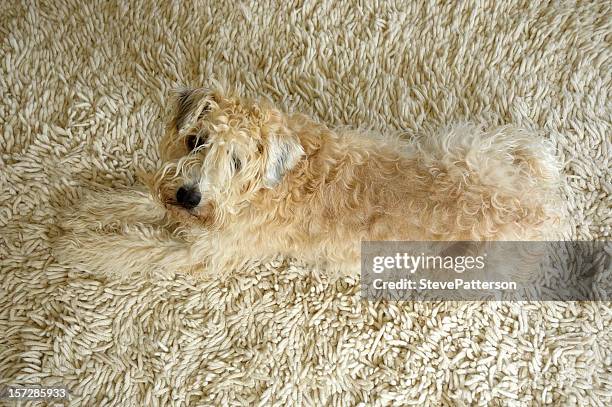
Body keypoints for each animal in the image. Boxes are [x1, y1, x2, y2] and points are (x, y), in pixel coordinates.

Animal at [52, 86, 564, 280]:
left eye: (236, 161)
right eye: (195, 140)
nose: (190, 195)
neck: (268, 186)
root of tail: (541, 208)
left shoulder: (200, 251)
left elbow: (131, 248)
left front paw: (79, 249)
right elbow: (140, 201)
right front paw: (86, 211)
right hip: (460, 144)